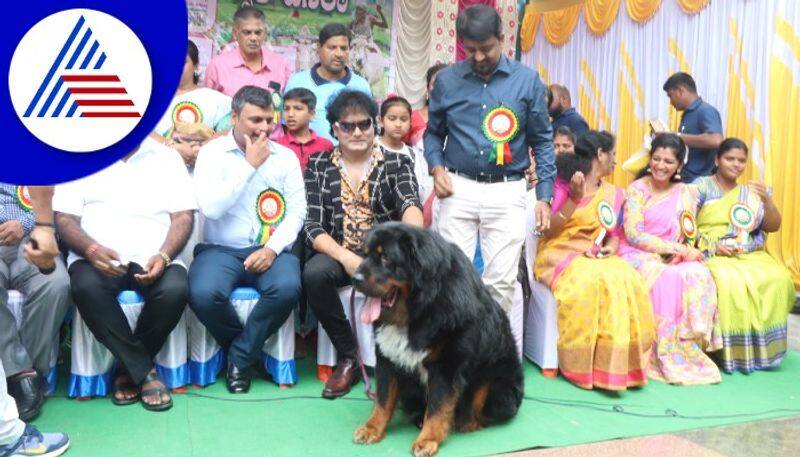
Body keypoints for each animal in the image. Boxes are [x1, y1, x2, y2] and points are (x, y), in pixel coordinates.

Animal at [352, 222, 524, 456]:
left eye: (385, 257)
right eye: (365, 254)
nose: (354, 278)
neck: (419, 308)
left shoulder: (445, 366)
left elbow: (437, 407)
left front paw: (427, 440)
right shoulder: (387, 358)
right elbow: (383, 399)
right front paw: (372, 428)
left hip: (495, 385)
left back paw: (465, 423)